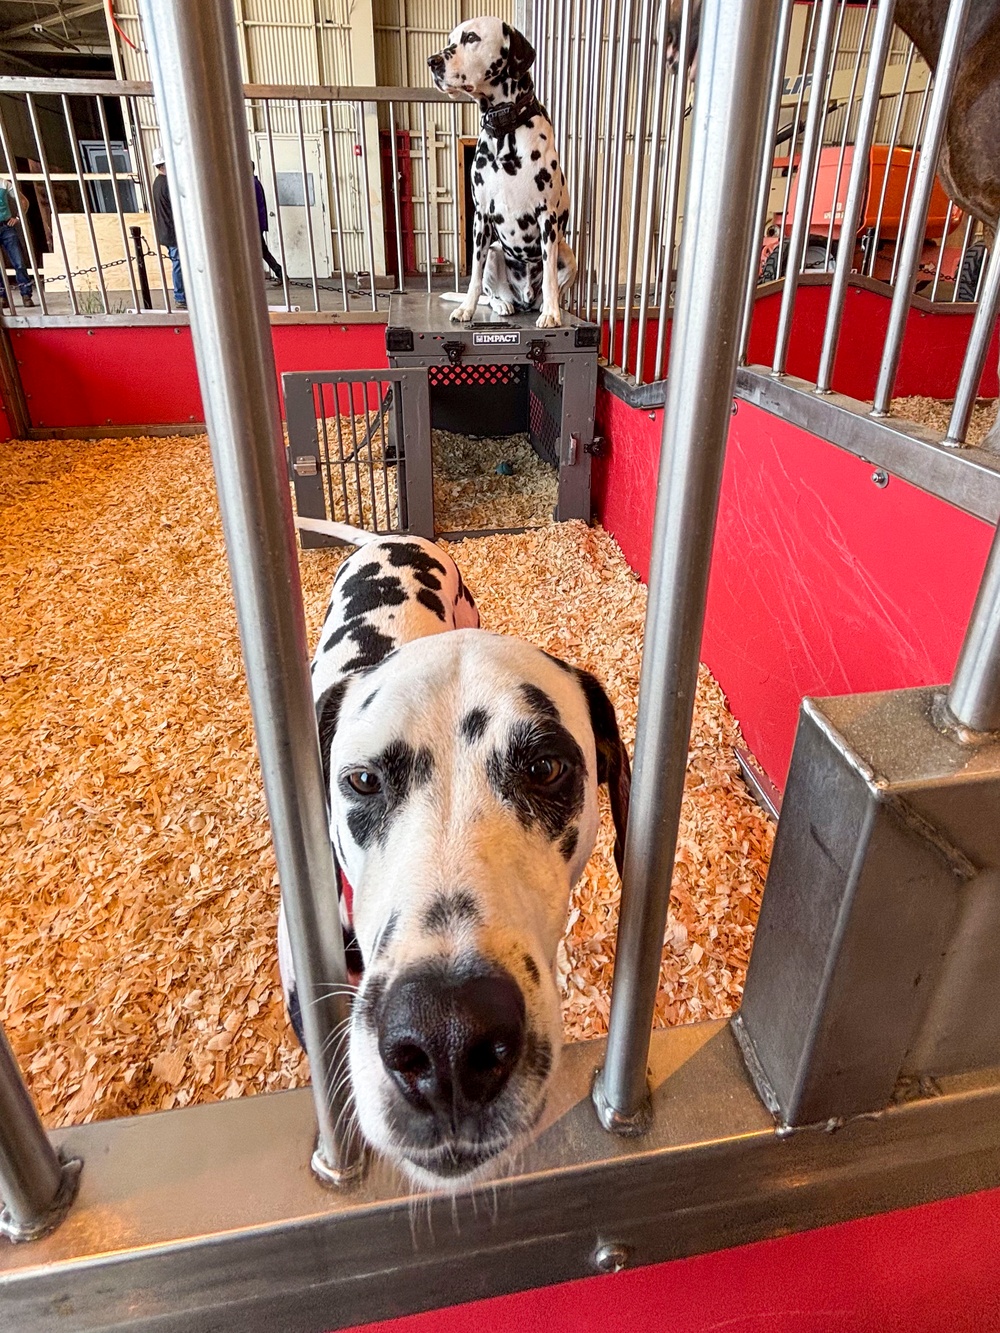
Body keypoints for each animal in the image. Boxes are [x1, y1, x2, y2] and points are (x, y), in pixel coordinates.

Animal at [426, 17, 576, 327]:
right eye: (450, 40)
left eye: (471, 37)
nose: (432, 62)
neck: (505, 129)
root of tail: (523, 299)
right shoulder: (481, 217)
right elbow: (473, 275)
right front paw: (467, 308)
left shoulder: (547, 218)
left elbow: (550, 277)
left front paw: (552, 313)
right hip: (495, 251)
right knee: (493, 294)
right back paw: (502, 304)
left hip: (568, 254)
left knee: (552, 285)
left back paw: (544, 307)